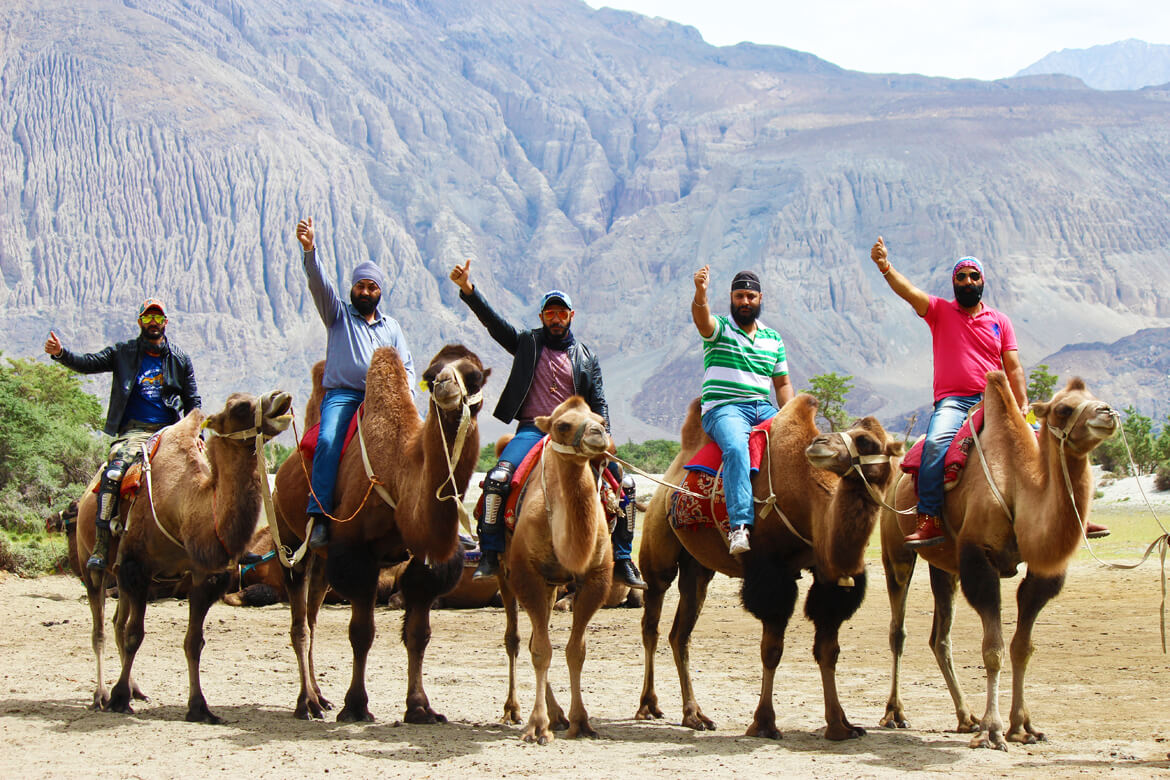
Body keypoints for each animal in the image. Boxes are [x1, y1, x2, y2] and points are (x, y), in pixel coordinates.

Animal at [879, 374, 1118, 753]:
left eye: (1093, 395)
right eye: (1064, 408)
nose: (1107, 412)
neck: (1019, 490)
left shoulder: (1041, 571)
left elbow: (1023, 647)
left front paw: (1022, 726)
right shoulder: (979, 557)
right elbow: (993, 648)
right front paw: (992, 731)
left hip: (944, 565)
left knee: (940, 638)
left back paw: (966, 717)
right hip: (897, 551)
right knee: (898, 630)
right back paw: (895, 713)